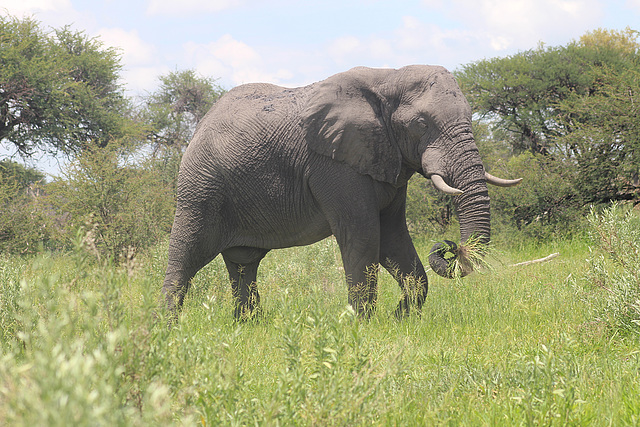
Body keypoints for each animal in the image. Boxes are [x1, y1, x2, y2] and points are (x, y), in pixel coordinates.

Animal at [161, 65, 520, 320]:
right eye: (421, 123)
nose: (448, 247)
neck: (388, 77)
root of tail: (200, 125)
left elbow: (393, 237)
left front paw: (400, 318)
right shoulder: (335, 165)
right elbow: (364, 236)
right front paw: (364, 325)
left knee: (242, 264)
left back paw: (249, 326)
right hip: (201, 186)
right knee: (186, 255)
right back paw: (167, 330)